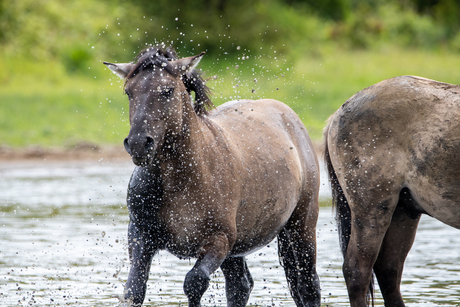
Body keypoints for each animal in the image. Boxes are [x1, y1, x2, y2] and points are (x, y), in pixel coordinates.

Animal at [104, 45, 320, 307]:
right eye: (129, 92)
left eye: (167, 91)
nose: (137, 144)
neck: (183, 180)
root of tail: (290, 117)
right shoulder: (141, 235)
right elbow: (134, 289)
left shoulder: (218, 240)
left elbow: (194, 282)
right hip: (237, 250)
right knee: (240, 286)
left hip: (301, 228)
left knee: (307, 286)